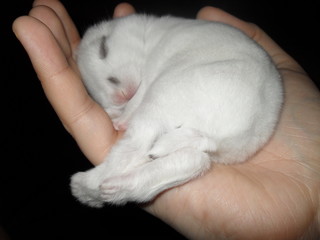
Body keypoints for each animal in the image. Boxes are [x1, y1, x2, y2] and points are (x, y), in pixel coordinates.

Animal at [70, 14, 282, 207]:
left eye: (103, 48)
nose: (120, 96)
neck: (147, 38)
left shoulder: (146, 80)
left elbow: (133, 104)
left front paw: (118, 119)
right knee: (193, 161)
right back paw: (99, 190)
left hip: (159, 101)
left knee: (137, 147)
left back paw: (84, 185)